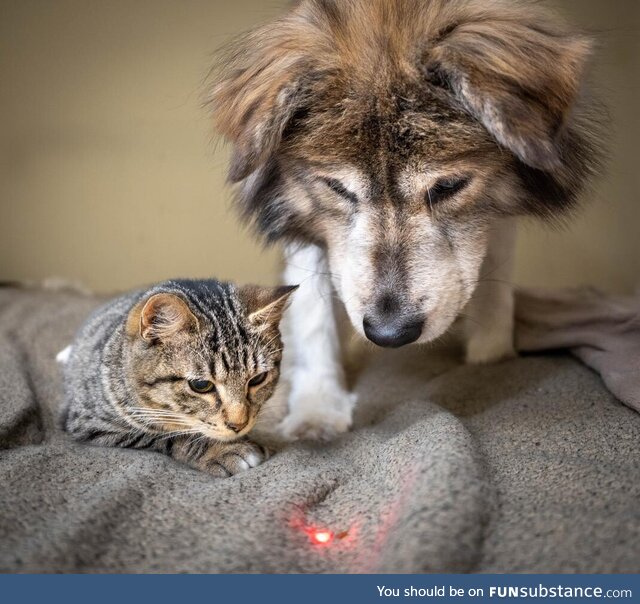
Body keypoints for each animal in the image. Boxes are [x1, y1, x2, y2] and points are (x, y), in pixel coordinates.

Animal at [58, 278, 296, 476]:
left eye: (258, 379)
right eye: (201, 385)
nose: (238, 425)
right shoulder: (91, 422)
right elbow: (172, 436)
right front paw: (224, 451)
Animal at [208, 0, 604, 438]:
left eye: (448, 186)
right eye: (337, 187)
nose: (389, 334)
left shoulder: (494, 221)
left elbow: (493, 283)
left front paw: (491, 359)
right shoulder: (307, 226)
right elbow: (314, 315)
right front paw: (318, 411)